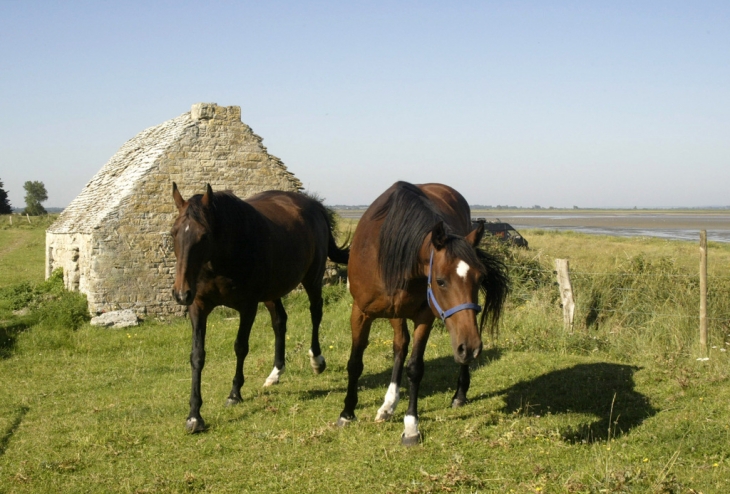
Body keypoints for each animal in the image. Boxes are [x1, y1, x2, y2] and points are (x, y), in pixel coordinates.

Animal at [173, 184, 350, 432]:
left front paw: (234, 394)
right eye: (174, 233)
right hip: (272, 293)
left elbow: (240, 347)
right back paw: (275, 373)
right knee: (280, 322)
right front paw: (194, 416)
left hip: (313, 278)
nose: (181, 294)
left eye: (204, 235)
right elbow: (197, 356)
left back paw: (316, 360)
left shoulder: (248, 307)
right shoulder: (198, 307)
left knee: (316, 313)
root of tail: (313, 205)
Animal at [336, 181, 506, 444]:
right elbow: (355, 363)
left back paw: (459, 394)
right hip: (395, 312)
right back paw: (388, 405)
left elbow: (415, 368)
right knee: (399, 345)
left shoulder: (424, 317)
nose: (471, 347)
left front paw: (411, 426)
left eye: (480, 279)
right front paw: (347, 413)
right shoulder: (361, 312)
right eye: (440, 281)